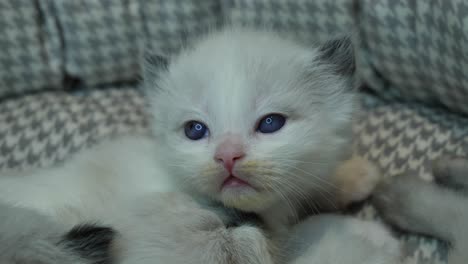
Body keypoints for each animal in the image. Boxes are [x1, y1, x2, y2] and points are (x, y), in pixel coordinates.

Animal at [0, 27, 402, 262]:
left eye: (271, 123)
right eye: (195, 130)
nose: (227, 155)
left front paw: (354, 175)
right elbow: (294, 238)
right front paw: (371, 236)